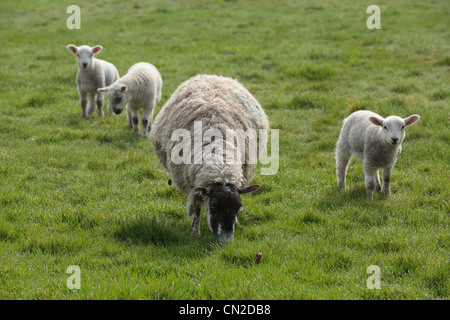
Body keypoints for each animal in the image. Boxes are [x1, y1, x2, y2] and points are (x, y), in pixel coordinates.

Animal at [151, 74, 270, 241]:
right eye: (213, 207)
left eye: (239, 207)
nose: (226, 241)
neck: (219, 162)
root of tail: (210, 76)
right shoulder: (195, 186)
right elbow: (197, 209)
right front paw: (195, 232)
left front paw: (237, 223)